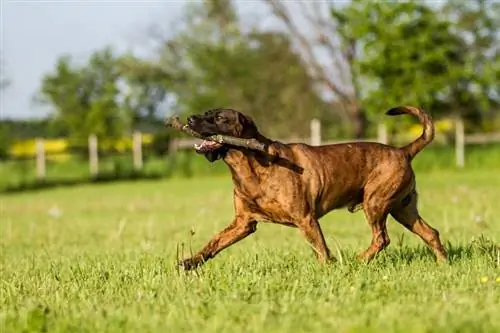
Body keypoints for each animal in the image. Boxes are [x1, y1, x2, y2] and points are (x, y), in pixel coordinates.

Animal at [181, 106, 450, 270]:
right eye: (205, 113)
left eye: (218, 118)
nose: (189, 119)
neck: (251, 164)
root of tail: (403, 151)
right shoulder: (243, 223)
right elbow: (214, 242)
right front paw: (191, 261)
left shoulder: (306, 219)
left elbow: (321, 249)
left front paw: (328, 269)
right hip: (403, 210)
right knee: (430, 233)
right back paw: (443, 264)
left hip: (375, 204)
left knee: (381, 238)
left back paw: (359, 259)